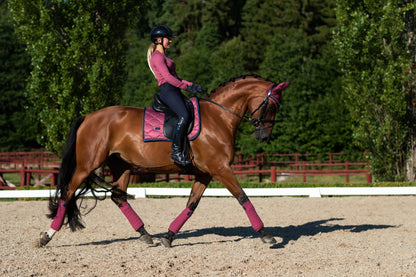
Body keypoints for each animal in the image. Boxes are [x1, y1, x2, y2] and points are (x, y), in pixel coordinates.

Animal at [38, 74, 290, 247]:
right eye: (271, 105)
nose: (264, 136)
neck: (218, 117)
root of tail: (88, 116)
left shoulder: (205, 173)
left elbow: (191, 205)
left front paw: (168, 236)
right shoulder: (221, 169)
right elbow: (243, 197)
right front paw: (266, 235)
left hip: (122, 166)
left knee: (118, 197)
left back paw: (145, 234)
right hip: (86, 165)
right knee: (67, 192)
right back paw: (46, 236)